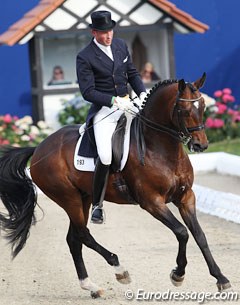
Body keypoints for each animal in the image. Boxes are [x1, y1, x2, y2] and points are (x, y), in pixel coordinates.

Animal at [0, 73, 231, 296]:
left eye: (202, 106)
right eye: (183, 110)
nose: (201, 145)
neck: (160, 147)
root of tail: (39, 148)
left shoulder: (186, 197)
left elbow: (199, 235)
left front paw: (221, 278)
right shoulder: (152, 202)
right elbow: (182, 232)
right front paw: (178, 274)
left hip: (84, 197)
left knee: (74, 239)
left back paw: (91, 286)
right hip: (68, 198)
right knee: (83, 234)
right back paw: (119, 269)